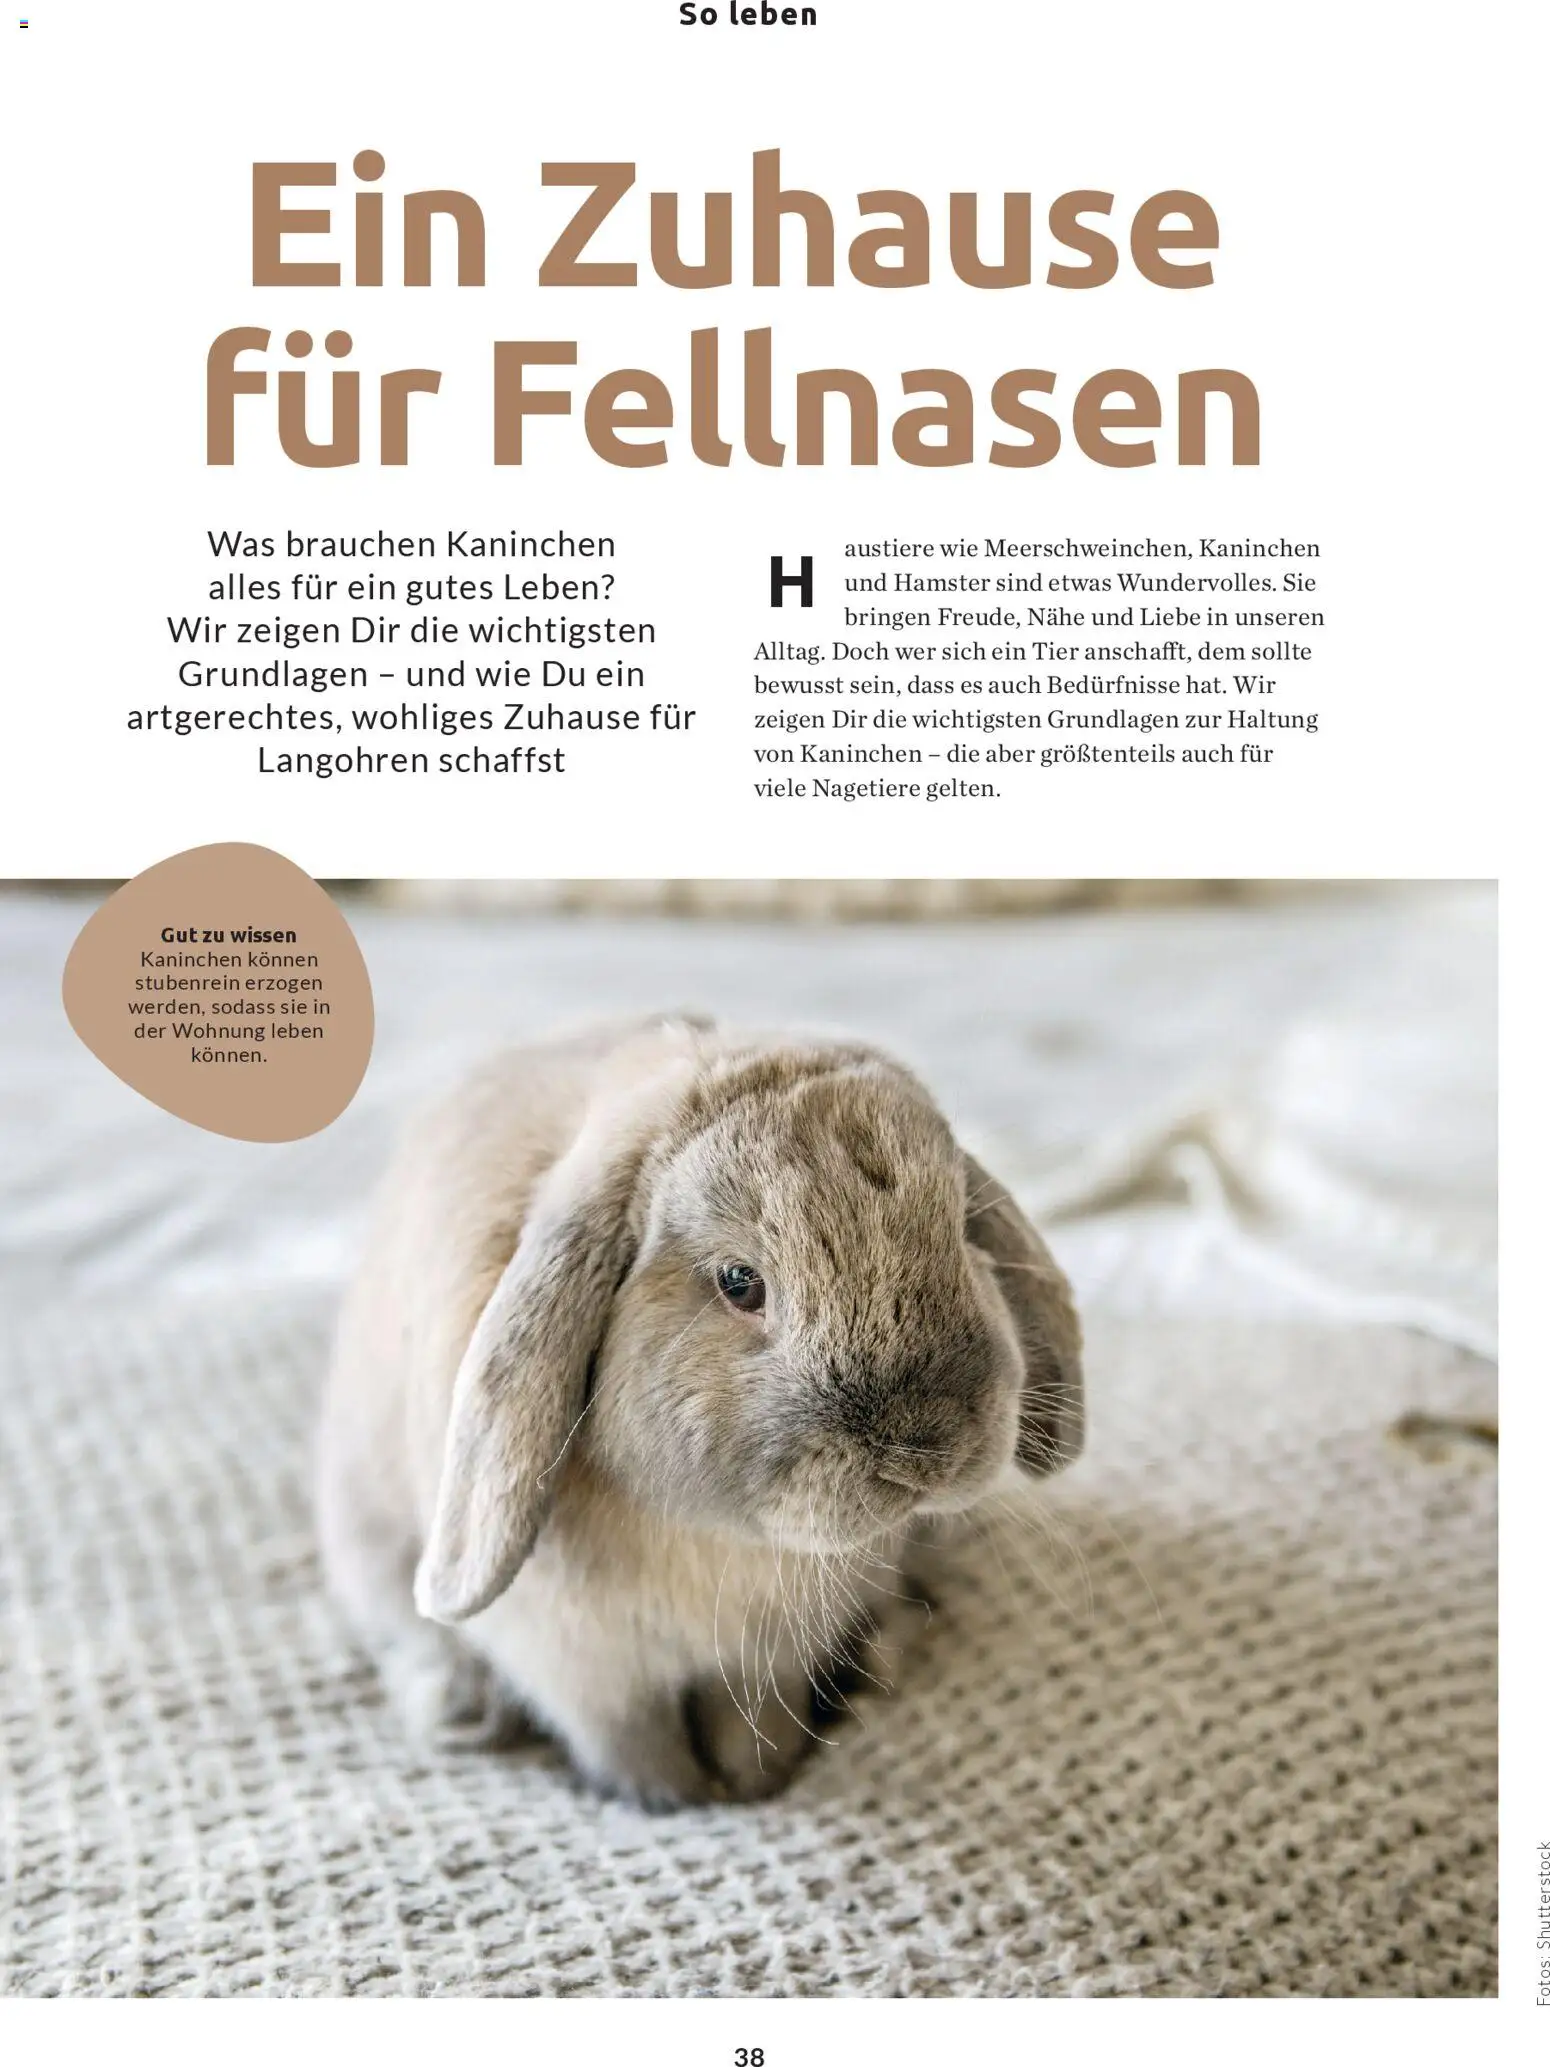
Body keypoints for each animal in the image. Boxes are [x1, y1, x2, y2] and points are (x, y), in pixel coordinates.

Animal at [316, 1013, 1083, 1808]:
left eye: (961, 1233)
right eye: (739, 1282)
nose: (926, 1452)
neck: (723, 1541)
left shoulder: (766, 1659)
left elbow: (756, 1719)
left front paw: (755, 1778)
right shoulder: (586, 1671)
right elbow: (632, 1740)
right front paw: (677, 1797)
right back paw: (460, 1708)